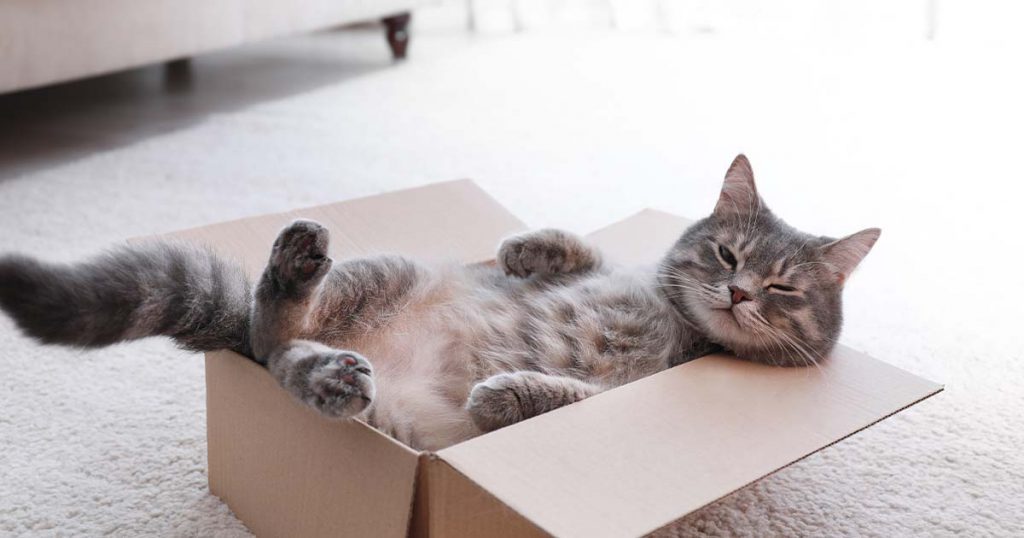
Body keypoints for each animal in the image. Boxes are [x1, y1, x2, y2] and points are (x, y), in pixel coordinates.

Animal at [0, 154, 880, 448]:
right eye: (728, 253)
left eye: (781, 287)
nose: (737, 291)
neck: (678, 320)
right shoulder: (624, 270)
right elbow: (586, 252)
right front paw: (527, 246)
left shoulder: (624, 390)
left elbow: (561, 394)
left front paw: (507, 391)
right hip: (382, 270)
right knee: (269, 332)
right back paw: (298, 286)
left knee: (276, 353)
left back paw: (330, 376)